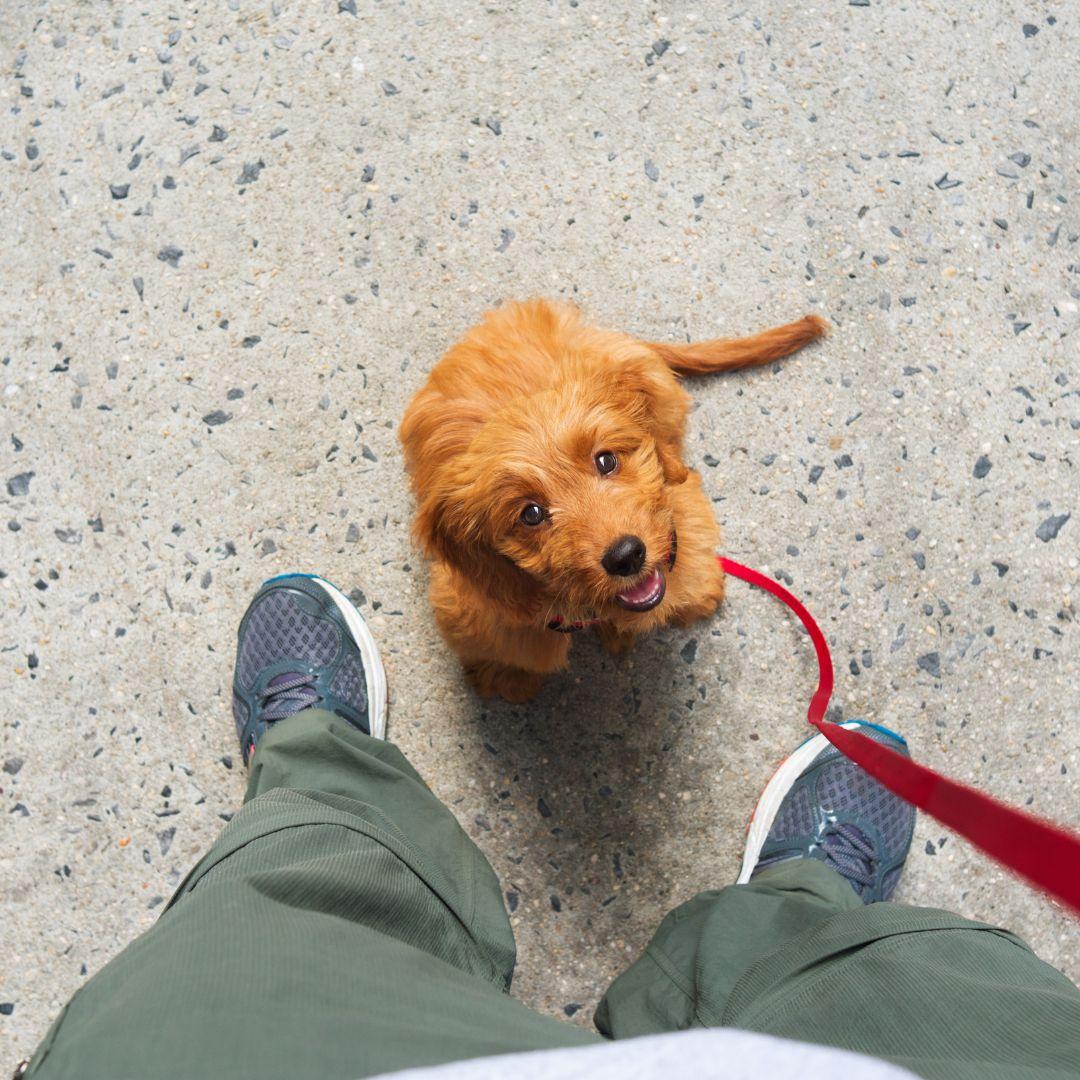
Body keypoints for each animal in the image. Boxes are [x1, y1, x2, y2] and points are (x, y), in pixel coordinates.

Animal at [399, 298, 825, 699]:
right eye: (531, 514)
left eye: (606, 460)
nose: (626, 556)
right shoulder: (479, 607)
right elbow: (509, 648)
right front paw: (507, 677)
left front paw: (698, 593)